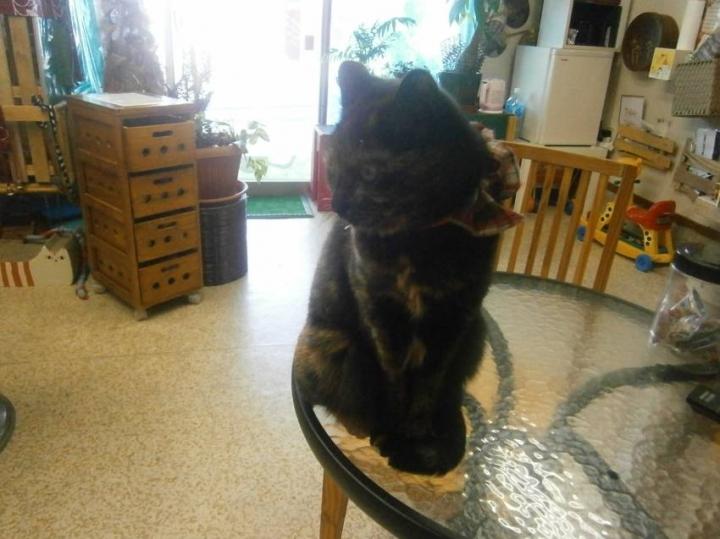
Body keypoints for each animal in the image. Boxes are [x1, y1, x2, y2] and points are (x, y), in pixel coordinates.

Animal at [293, 61, 519, 475]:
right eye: (334, 166)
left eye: (370, 174)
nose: (341, 205)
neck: (417, 240)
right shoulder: (381, 314)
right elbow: (394, 381)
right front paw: (393, 430)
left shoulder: (454, 316)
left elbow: (431, 383)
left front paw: (416, 431)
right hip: (335, 347)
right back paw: (367, 426)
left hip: (477, 331)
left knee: (451, 391)